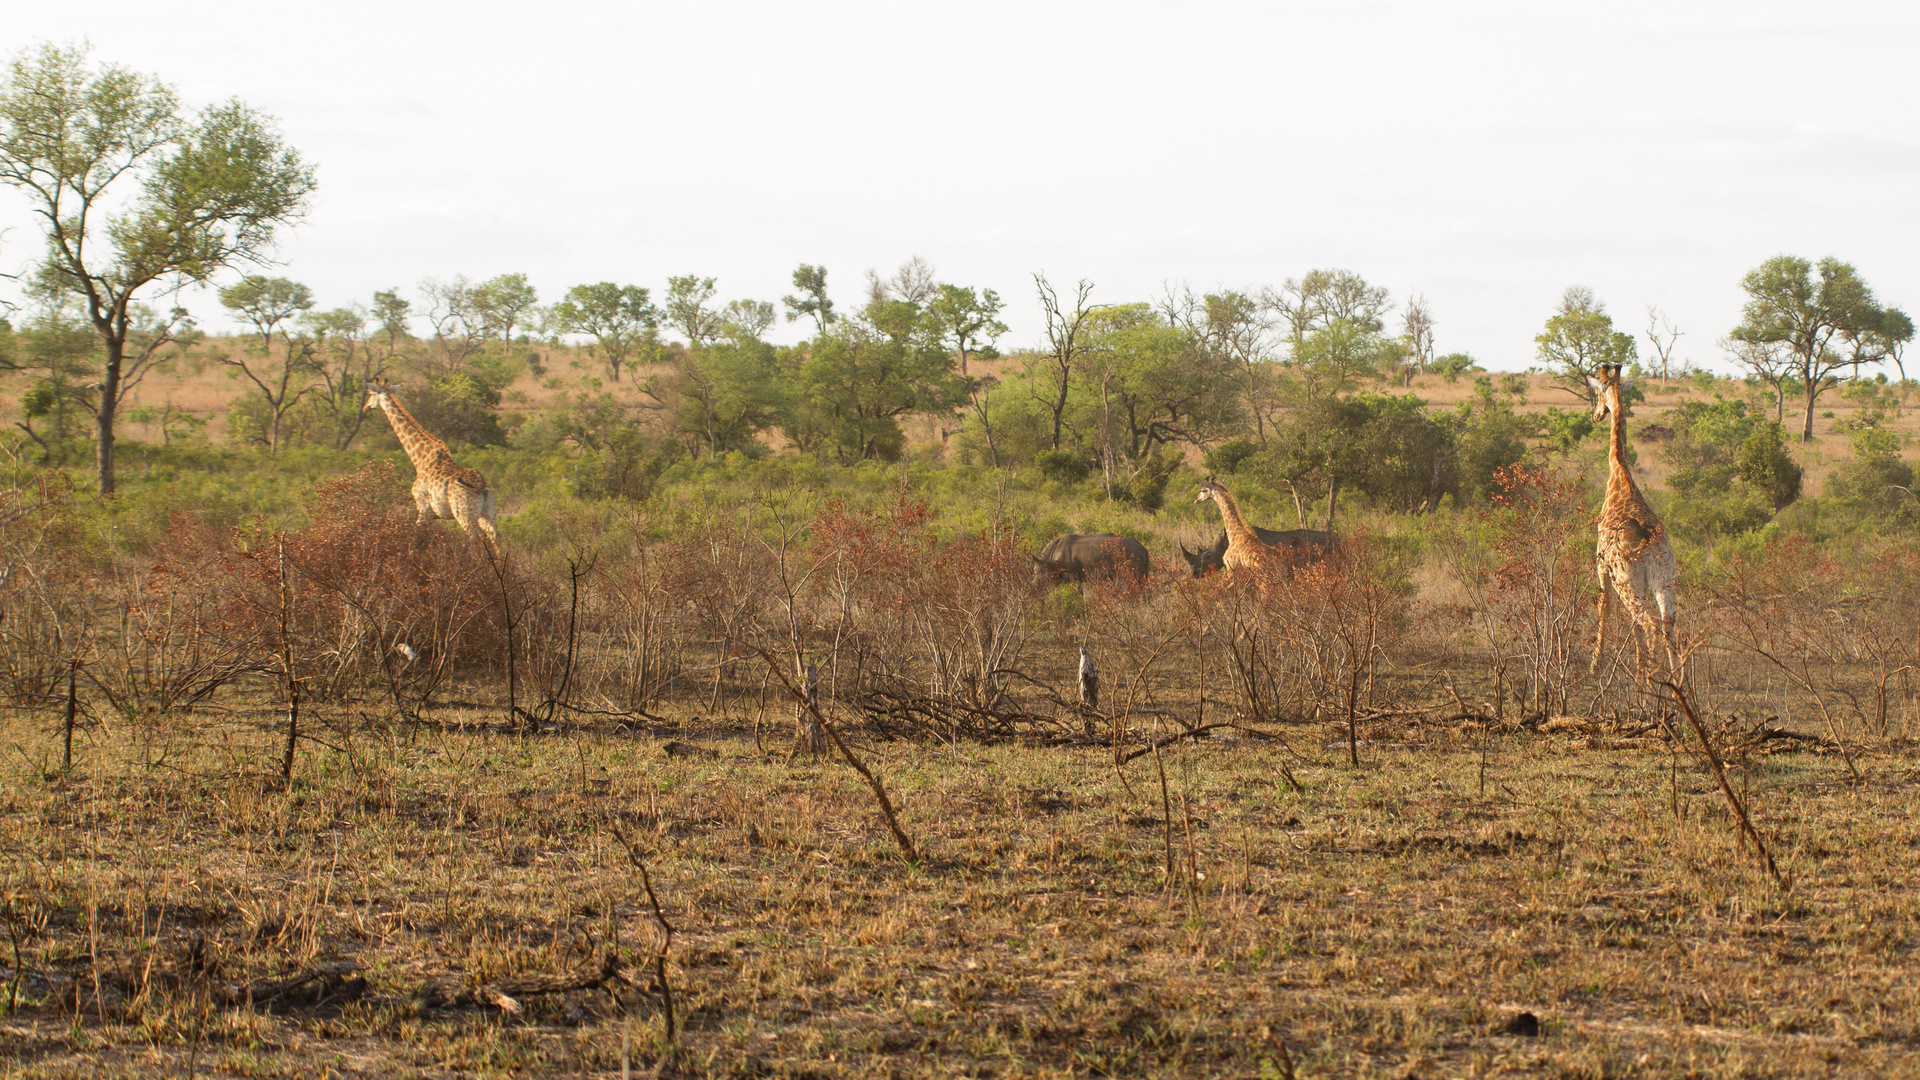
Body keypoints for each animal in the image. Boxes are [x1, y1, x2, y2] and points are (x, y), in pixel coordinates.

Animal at [366, 382, 499, 553]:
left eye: (370, 393)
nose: (366, 407)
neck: (419, 458)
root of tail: (482, 487)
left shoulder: (423, 505)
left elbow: (416, 532)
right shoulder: (433, 514)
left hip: (465, 515)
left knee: (476, 540)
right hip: (488, 513)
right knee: (495, 539)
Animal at [1589, 365, 1681, 676]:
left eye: (1597, 392)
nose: (1596, 414)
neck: (1620, 473)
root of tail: (1649, 546)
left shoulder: (1601, 565)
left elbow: (1603, 606)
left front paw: (1596, 663)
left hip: (1628, 583)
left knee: (1649, 625)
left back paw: (1645, 678)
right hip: (1665, 580)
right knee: (1667, 627)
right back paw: (1674, 679)